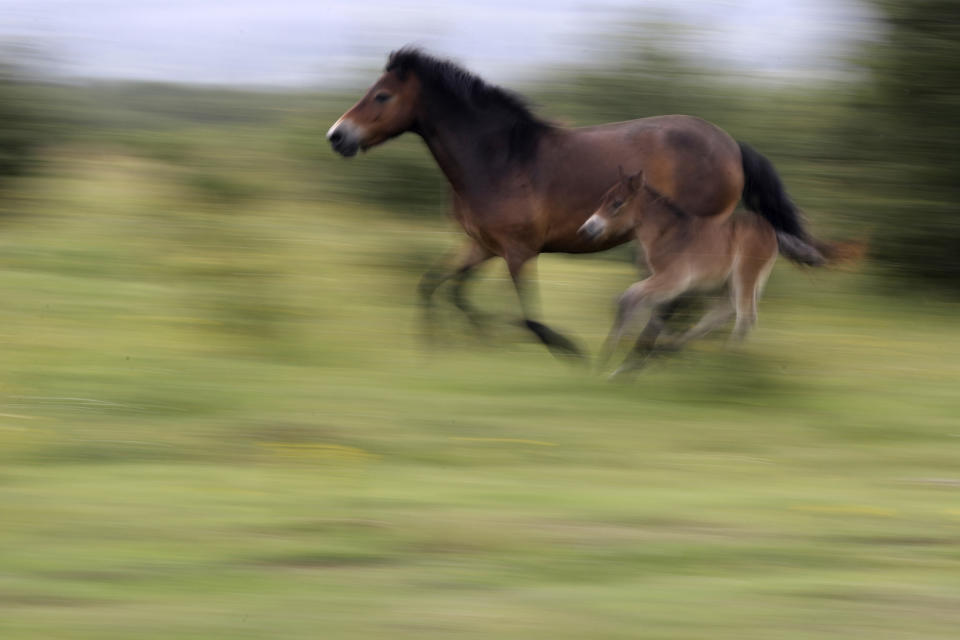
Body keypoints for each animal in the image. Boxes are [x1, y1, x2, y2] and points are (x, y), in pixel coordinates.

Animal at [326, 48, 828, 360]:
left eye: (382, 95)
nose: (337, 136)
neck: (499, 157)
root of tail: (732, 146)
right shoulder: (482, 245)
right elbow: (438, 288)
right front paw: (441, 347)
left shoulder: (518, 251)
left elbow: (528, 317)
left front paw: (571, 351)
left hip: (693, 244)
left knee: (683, 303)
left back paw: (651, 356)